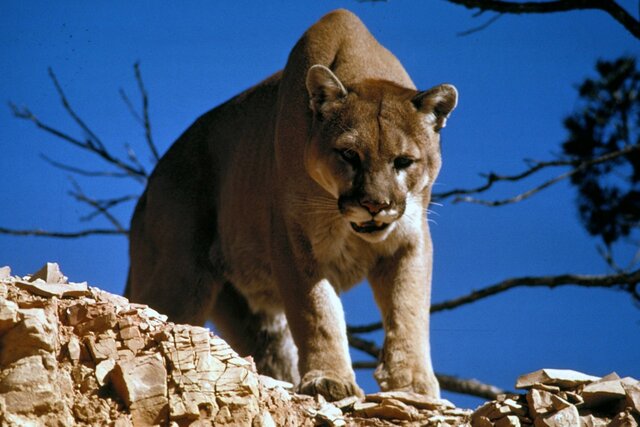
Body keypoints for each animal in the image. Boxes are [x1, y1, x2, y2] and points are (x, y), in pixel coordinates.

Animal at [127, 9, 457, 401]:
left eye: (404, 161)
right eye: (349, 155)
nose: (375, 205)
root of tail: (148, 189)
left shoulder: (409, 238)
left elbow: (409, 310)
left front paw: (413, 385)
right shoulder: (293, 239)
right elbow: (317, 311)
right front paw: (330, 379)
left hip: (250, 313)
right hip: (180, 276)